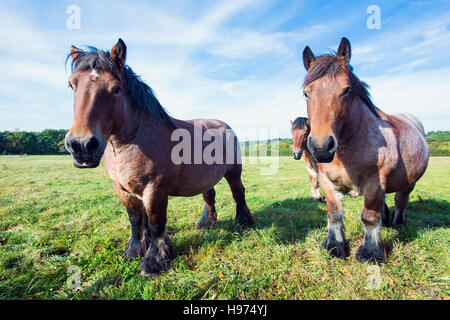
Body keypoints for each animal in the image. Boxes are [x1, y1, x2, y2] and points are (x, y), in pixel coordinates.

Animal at [64, 39, 253, 276]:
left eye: (115, 88)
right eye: (72, 85)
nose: (81, 146)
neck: (131, 141)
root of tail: (224, 125)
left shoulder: (155, 189)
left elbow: (155, 223)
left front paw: (155, 260)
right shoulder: (123, 190)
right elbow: (137, 220)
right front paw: (134, 250)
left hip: (234, 172)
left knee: (239, 193)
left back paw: (244, 222)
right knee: (209, 195)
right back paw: (206, 223)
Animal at [300, 37, 428, 262]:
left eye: (346, 90)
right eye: (306, 93)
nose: (321, 147)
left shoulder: (374, 184)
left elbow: (369, 217)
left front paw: (371, 252)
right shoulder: (327, 182)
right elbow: (334, 214)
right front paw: (335, 246)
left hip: (409, 182)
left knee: (401, 199)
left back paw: (398, 223)